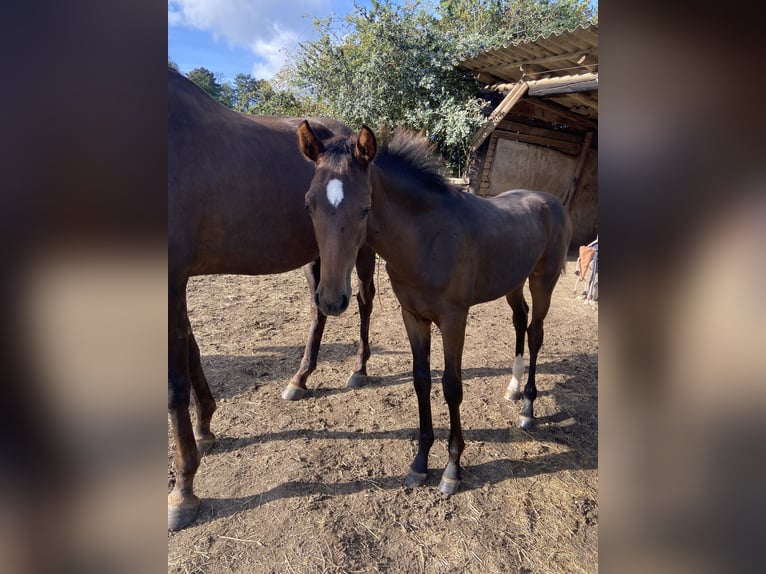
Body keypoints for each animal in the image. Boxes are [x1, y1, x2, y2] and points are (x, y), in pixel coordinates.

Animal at [168, 68, 377, 530]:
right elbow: (191, 354)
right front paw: (206, 427)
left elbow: (174, 385)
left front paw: (183, 490)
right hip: (319, 256)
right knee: (321, 309)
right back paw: (300, 378)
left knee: (364, 300)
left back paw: (358, 368)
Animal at [297, 121, 572, 495]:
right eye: (309, 205)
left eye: (365, 208)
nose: (330, 299)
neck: (428, 237)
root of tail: (551, 201)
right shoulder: (413, 316)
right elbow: (421, 380)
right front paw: (420, 462)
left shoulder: (454, 320)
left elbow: (451, 386)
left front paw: (452, 469)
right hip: (513, 281)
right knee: (520, 320)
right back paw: (513, 389)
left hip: (543, 281)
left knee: (535, 333)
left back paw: (528, 408)